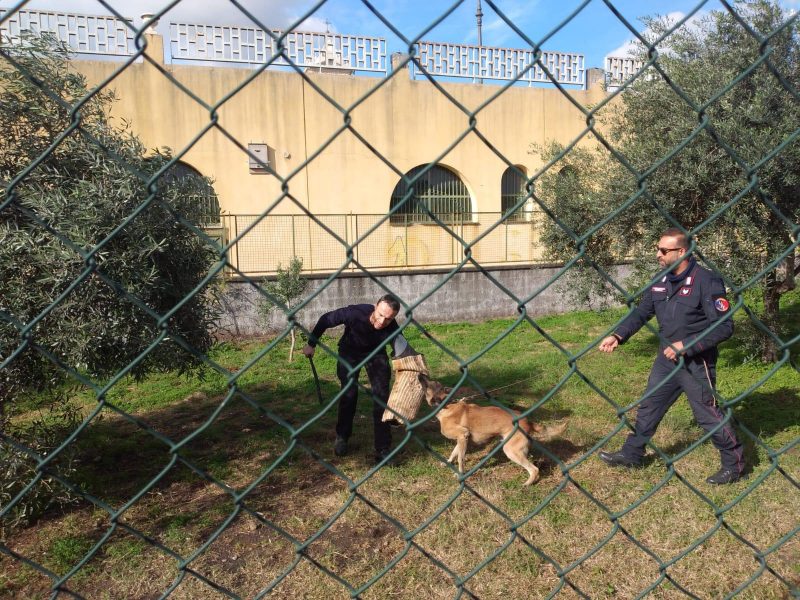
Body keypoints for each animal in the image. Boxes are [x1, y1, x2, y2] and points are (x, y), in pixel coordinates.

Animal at [422, 378, 564, 486]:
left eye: (430, 384)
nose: (420, 375)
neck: (447, 405)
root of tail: (528, 422)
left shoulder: (463, 435)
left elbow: (460, 459)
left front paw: (460, 474)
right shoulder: (462, 439)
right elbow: (454, 453)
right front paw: (448, 462)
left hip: (511, 451)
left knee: (534, 469)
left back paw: (527, 484)